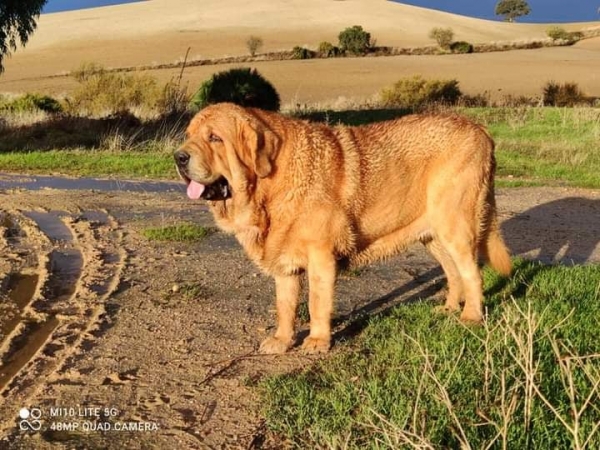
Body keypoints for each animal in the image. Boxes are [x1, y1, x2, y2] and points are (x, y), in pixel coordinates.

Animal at [173, 103, 510, 356]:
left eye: (215, 138)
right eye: (189, 136)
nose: (179, 156)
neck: (269, 185)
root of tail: (481, 130)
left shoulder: (321, 256)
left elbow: (316, 302)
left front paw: (317, 341)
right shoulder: (285, 264)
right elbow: (285, 305)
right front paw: (282, 340)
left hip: (455, 226)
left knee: (472, 273)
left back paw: (471, 317)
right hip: (434, 235)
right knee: (453, 272)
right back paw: (450, 308)